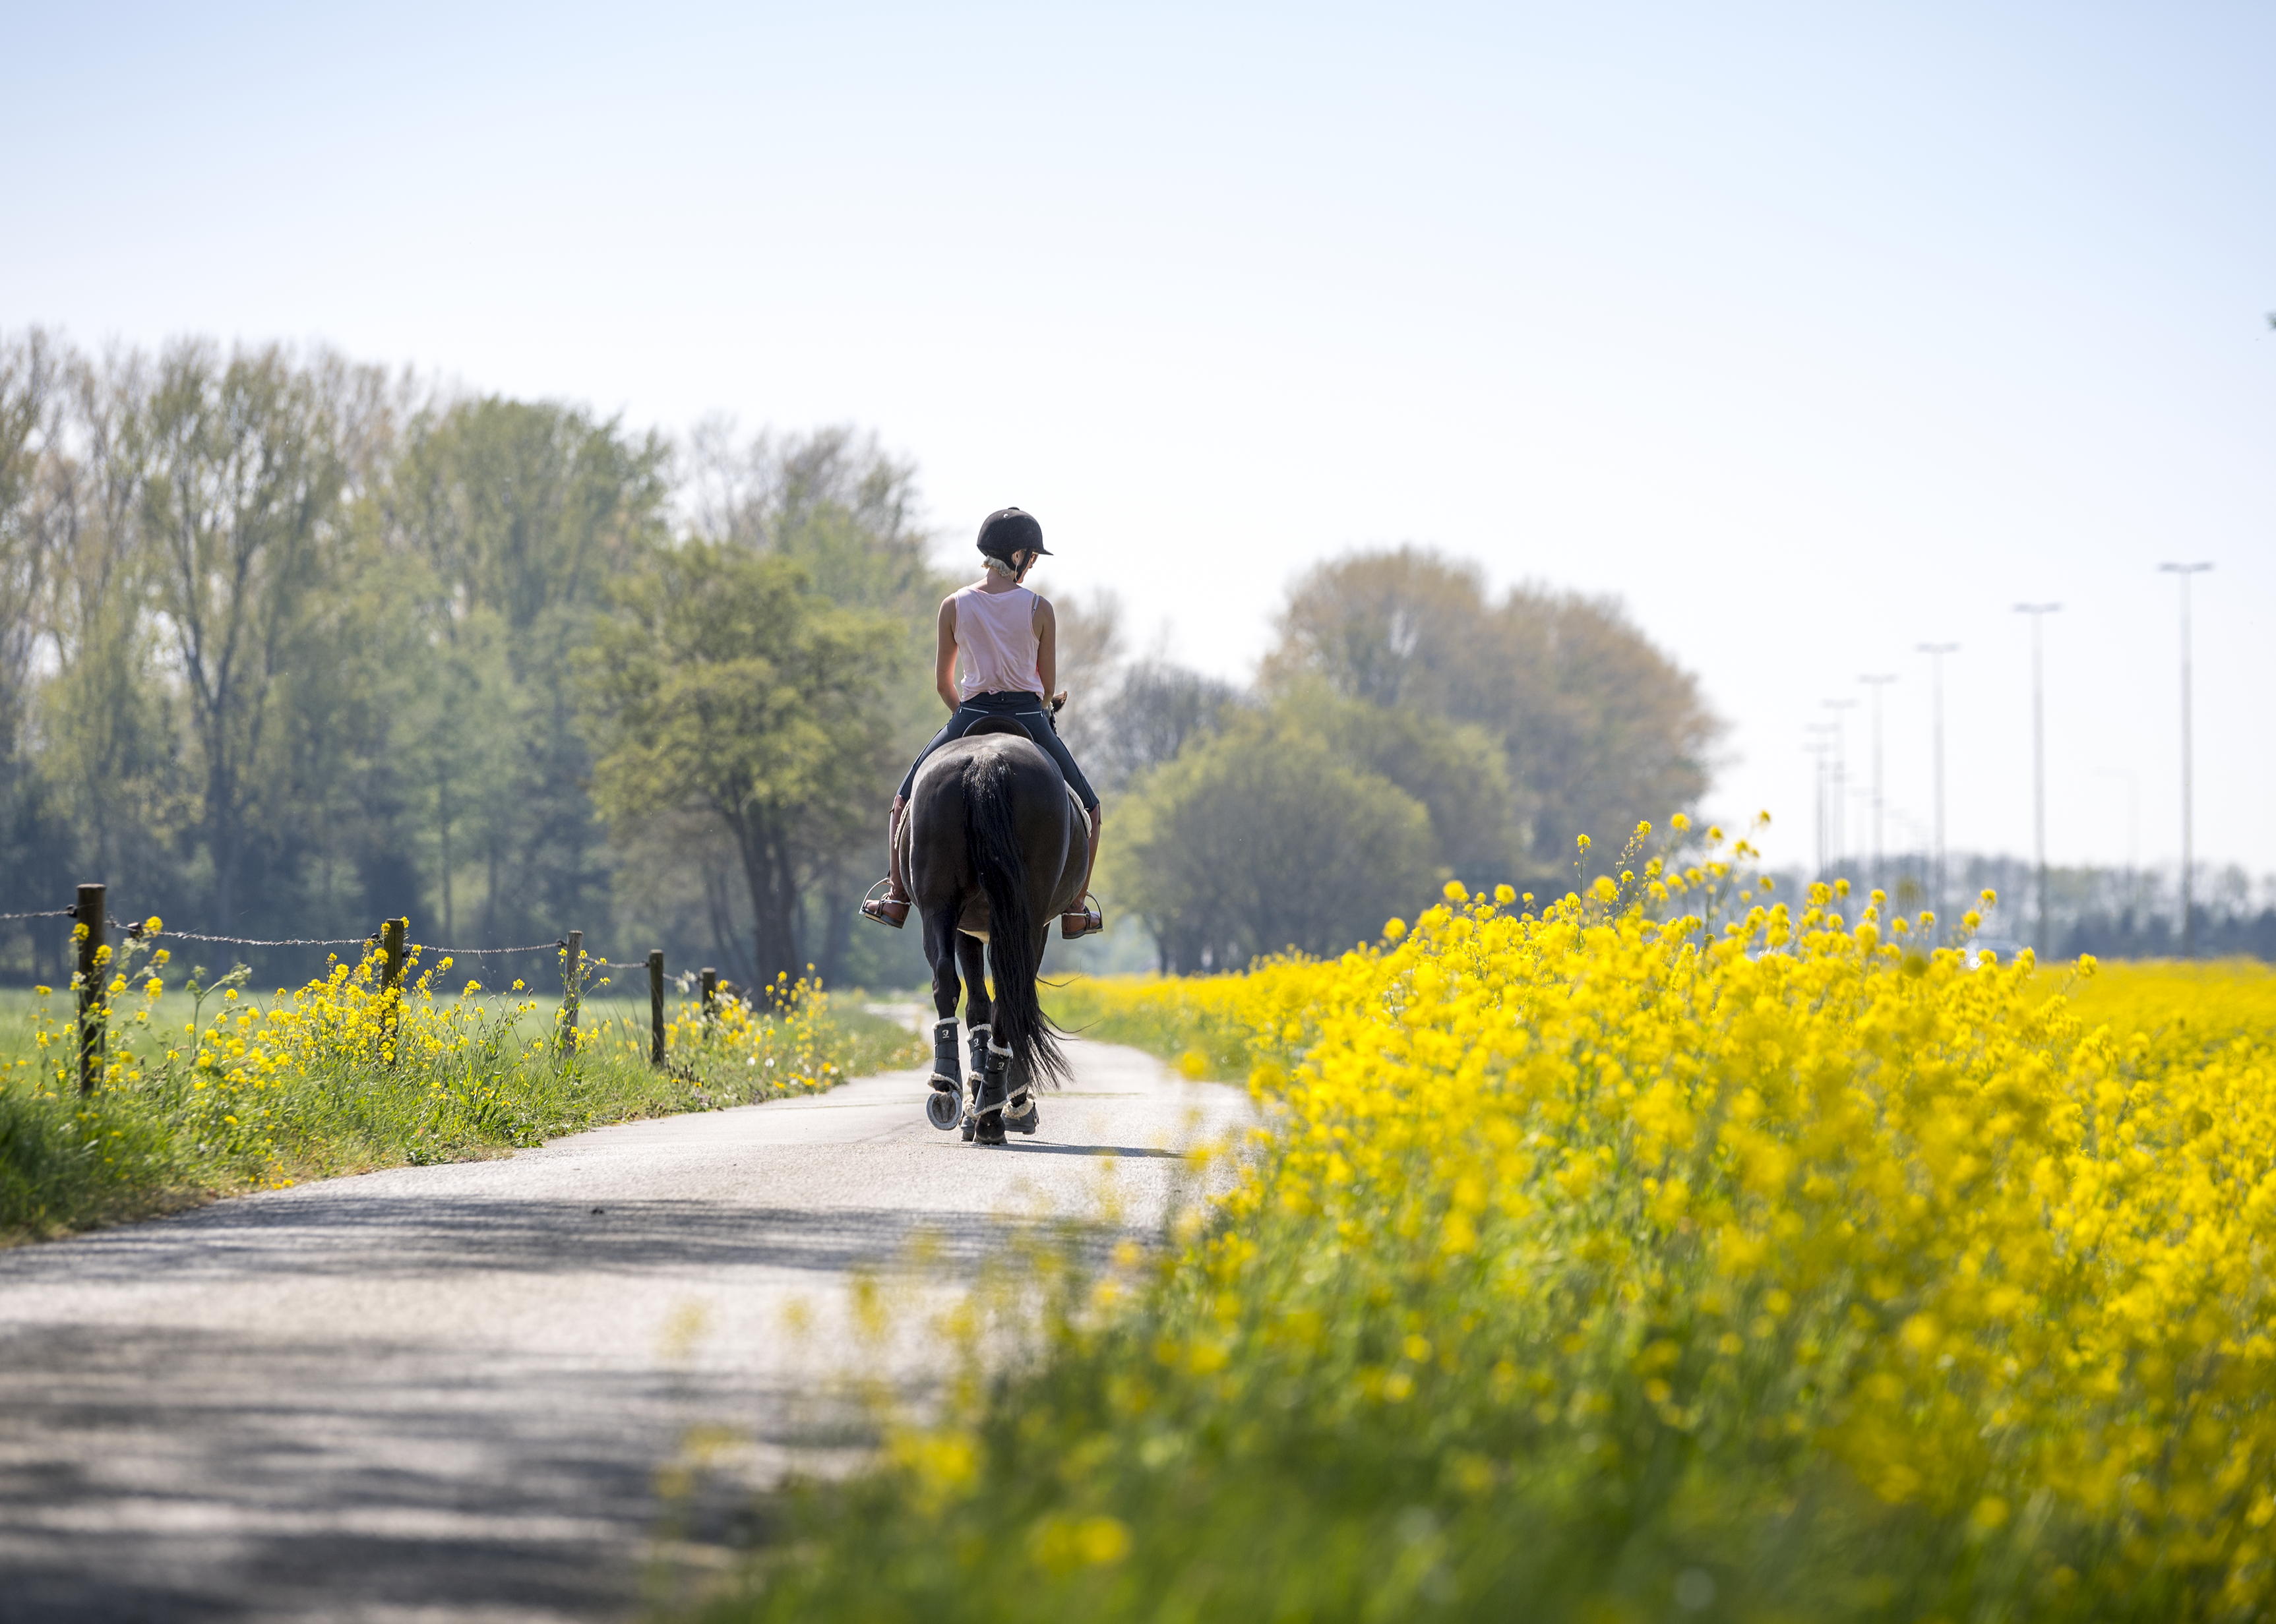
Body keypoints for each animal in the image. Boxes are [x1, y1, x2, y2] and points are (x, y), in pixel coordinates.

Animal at [898, 721, 1088, 1145]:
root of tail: (986, 761)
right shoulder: (1028, 927)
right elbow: (996, 1004)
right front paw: (1007, 1100)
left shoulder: (967, 927)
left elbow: (978, 1005)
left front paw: (976, 1095)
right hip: (1024, 919)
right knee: (1008, 997)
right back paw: (991, 1111)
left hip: (940, 907)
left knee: (946, 981)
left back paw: (949, 1090)